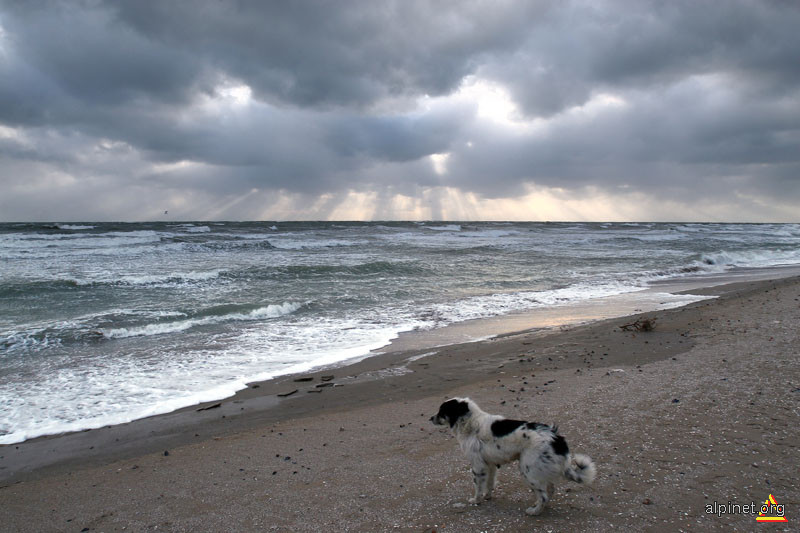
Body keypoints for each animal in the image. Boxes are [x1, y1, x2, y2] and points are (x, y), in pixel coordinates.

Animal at [432, 396, 592, 512]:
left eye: (441, 411)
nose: (430, 418)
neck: (470, 422)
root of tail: (556, 438)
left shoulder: (478, 466)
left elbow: (478, 486)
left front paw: (476, 500)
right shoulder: (490, 465)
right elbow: (489, 484)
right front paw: (487, 496)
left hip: (527, 470)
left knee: (544, 495)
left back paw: (534, 511)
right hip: (540, 469)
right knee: (550, 489)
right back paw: (540, 506)